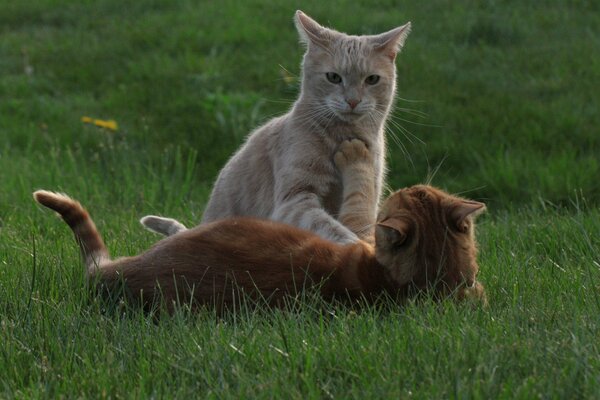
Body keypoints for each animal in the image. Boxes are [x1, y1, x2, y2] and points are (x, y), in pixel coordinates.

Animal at [141, 10, 412, 244]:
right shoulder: (294, 201)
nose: (353, 101)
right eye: (334, 77)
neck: (343, 136)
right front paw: (355, 247)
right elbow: (330, 227)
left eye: (372, 79)